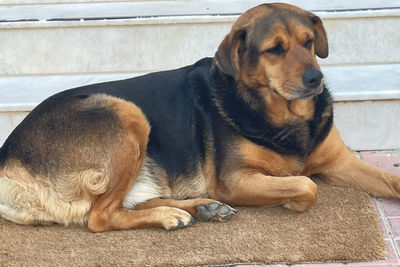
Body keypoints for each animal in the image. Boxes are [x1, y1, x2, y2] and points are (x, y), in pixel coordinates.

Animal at [0, 3, 400, 232]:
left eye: (308, 42)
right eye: (274, 49)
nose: (315, 80)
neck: (285, 117)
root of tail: (8, 160)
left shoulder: (342, 161)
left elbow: (390, 181)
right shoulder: (235, 180)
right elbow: (306, 185)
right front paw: (290, 199)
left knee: (127, 202)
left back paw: (202, 208)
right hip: (126, 112)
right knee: (100, 218)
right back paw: (172, 215)